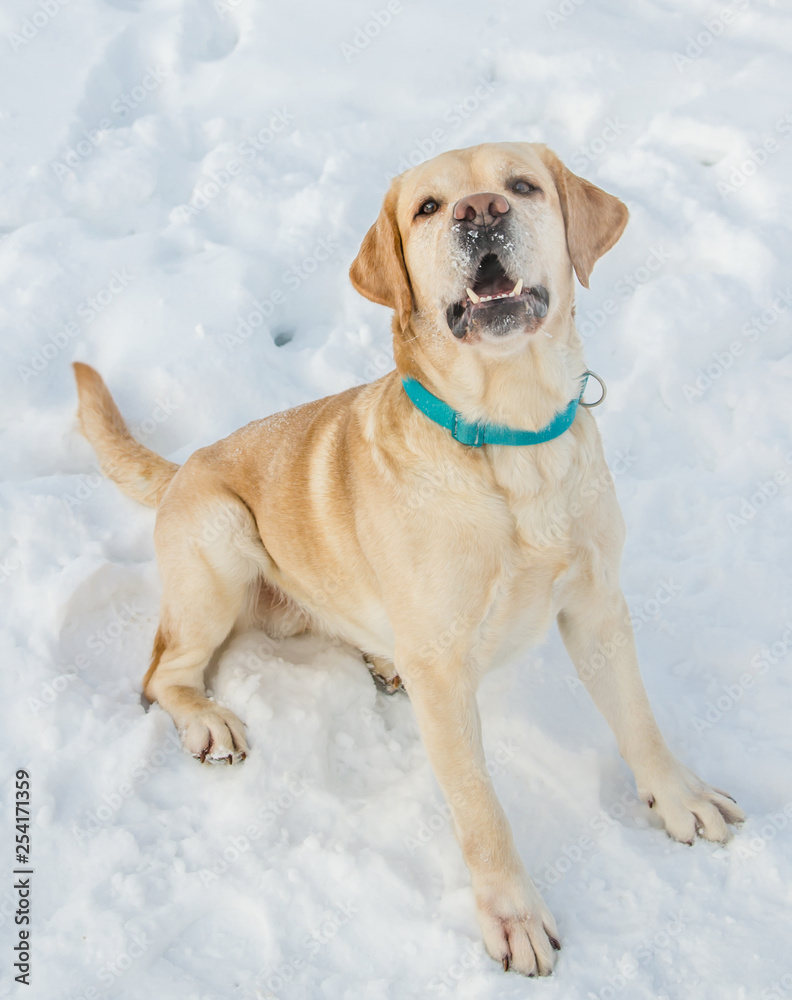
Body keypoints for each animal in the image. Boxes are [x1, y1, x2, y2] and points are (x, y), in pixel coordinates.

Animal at [72, 143, 744, 976]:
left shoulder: (597, 605)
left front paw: (679, 798)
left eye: (522, 186)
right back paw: (209, 721)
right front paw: (513, 917)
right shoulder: (447, 672)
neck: (512, 437)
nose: (480, 212)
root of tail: (184, 466)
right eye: (427, 207)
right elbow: (482, 810)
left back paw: (377, 657)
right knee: (163, 671)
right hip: (221, 543)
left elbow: (639, 721)